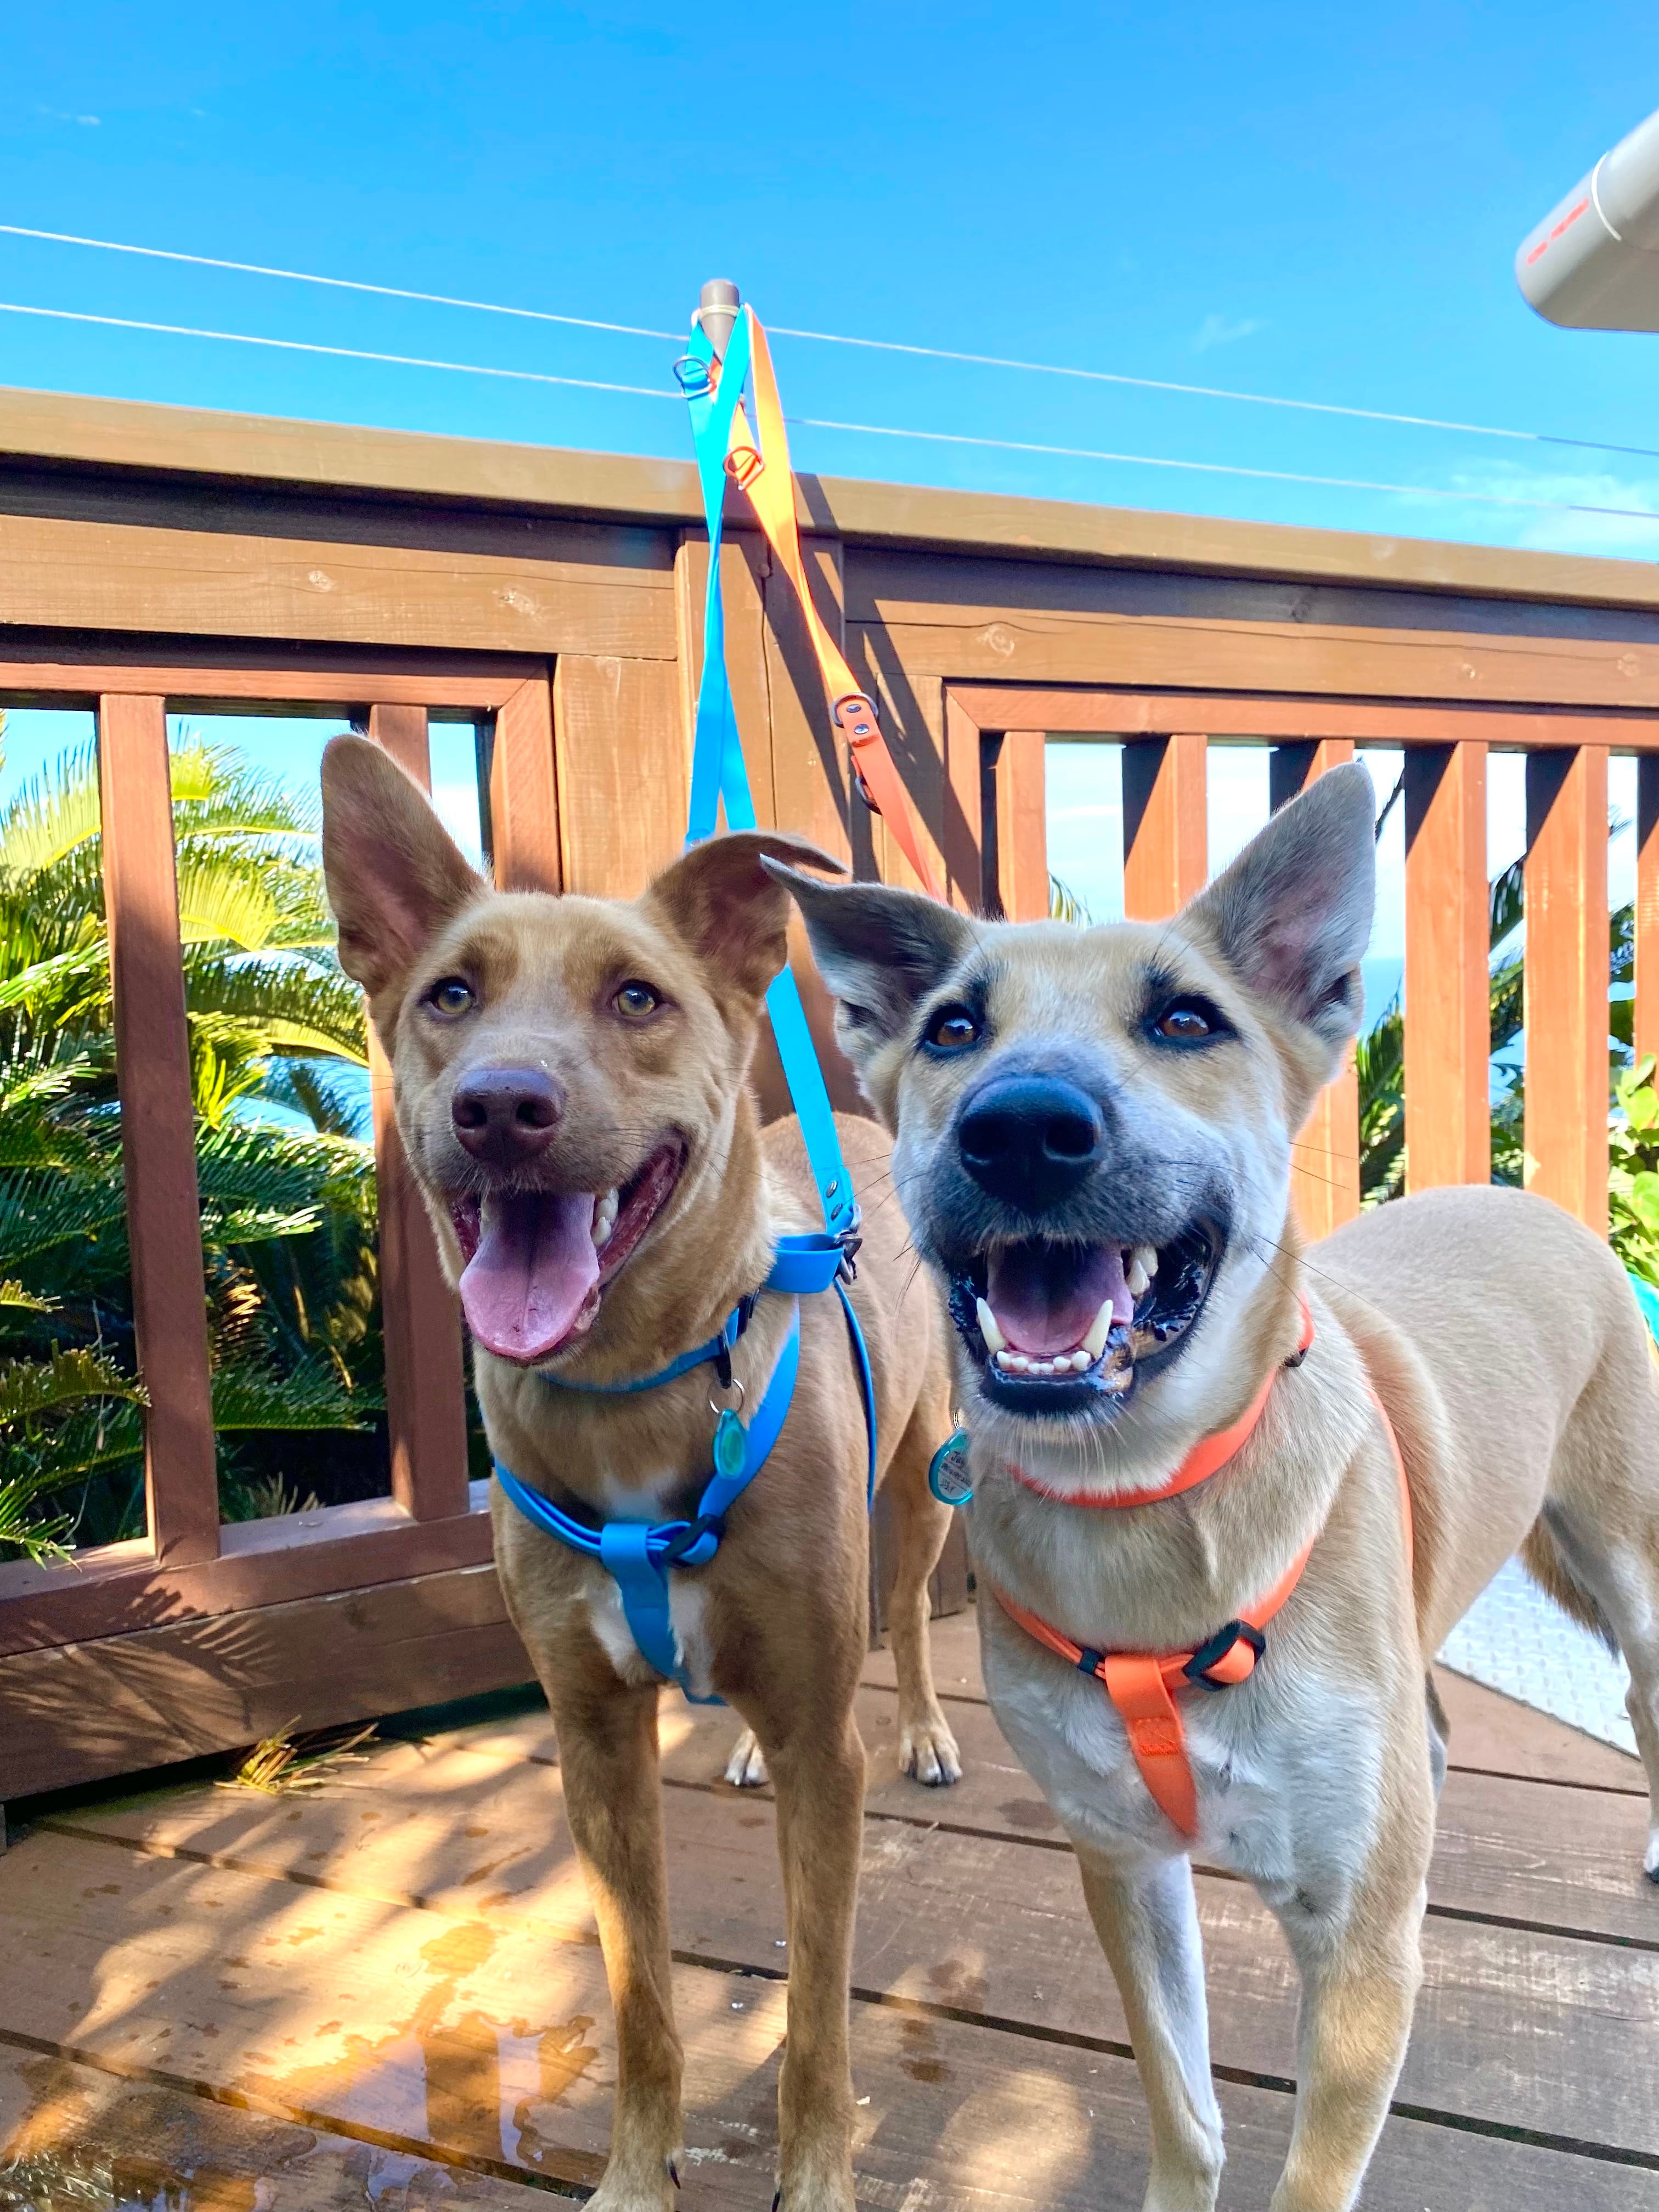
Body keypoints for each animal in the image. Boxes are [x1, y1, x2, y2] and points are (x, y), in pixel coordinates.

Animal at [319, 736, 962, 2212]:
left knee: (904, 1616)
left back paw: (924, 1728)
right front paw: (632, 2174)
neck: (628, 1392)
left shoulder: (827, 1764)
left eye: (637, 998)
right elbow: (641, 1999)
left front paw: (818, 2179)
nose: (502, 1107)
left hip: (920, 1489)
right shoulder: (594, 1744)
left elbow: (817, 2015)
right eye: (449, 995)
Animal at [772, 762, 1659, 2212]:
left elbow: (1312, 2173)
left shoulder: (1355, 1949)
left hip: (1626, 1557)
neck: (1145, 1502)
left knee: (1642, 1690)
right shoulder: (1125, 1866)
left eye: (1186, 1019)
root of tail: (1525, 1198)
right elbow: (1184, 2108)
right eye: (954, 1026)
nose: (1020, 1129)